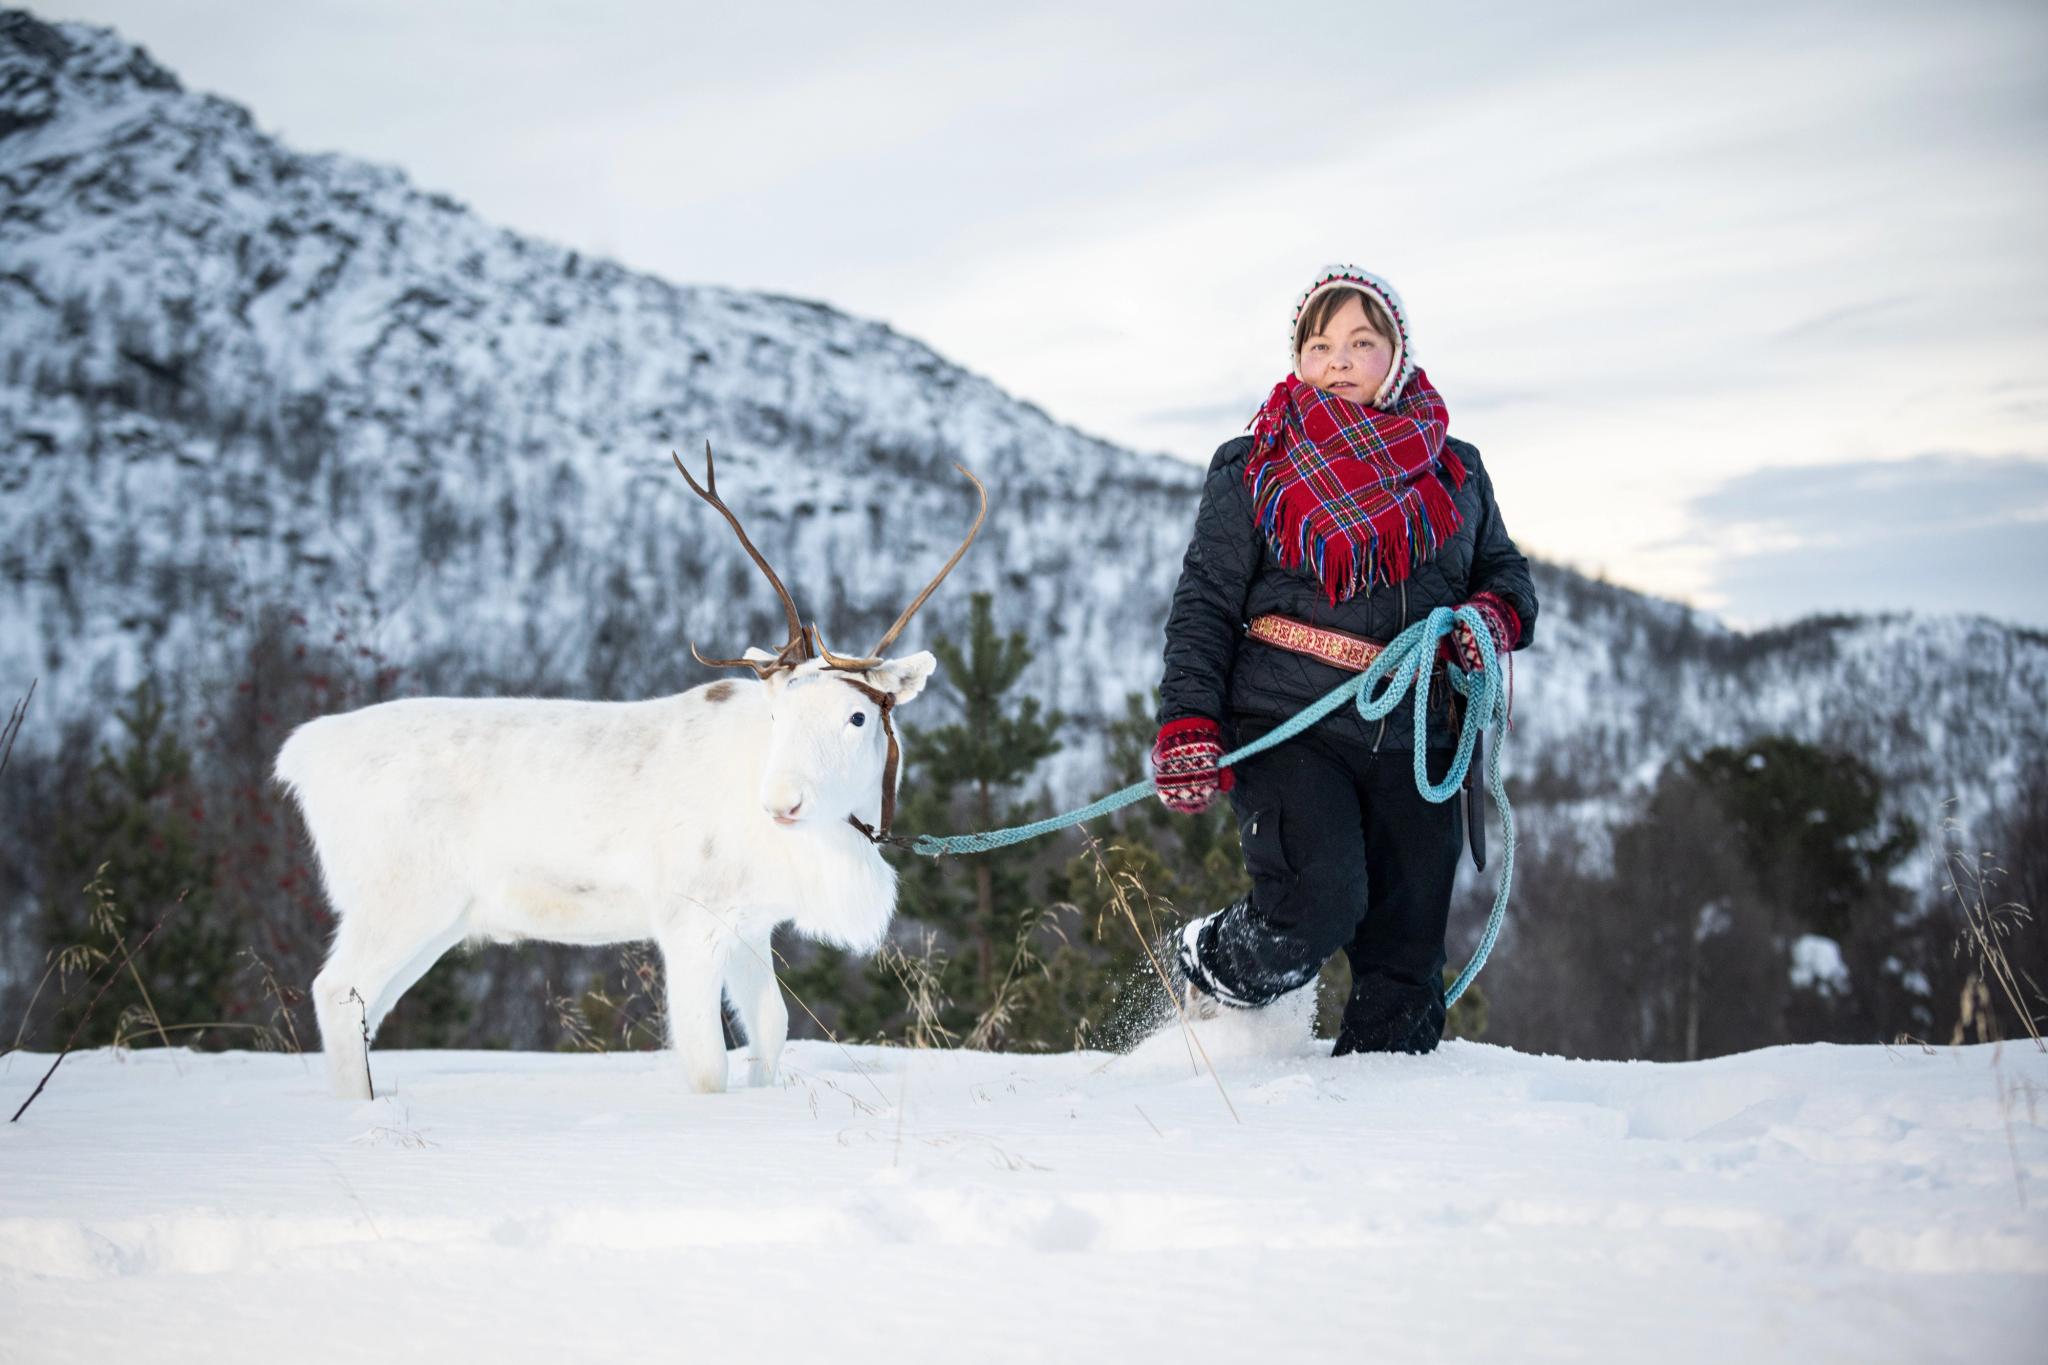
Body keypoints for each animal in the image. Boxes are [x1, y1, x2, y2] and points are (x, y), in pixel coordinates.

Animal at [274, 446, 986, 1100]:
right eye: (776, 713)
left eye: (858, 716)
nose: (782, 803)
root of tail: (302, 754)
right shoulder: (687, 919)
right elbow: (707, 1064)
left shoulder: (751, 923)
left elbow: (772, 1029)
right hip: (399, 899)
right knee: (335, 989)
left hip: (438, 919)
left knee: (366, 1006)